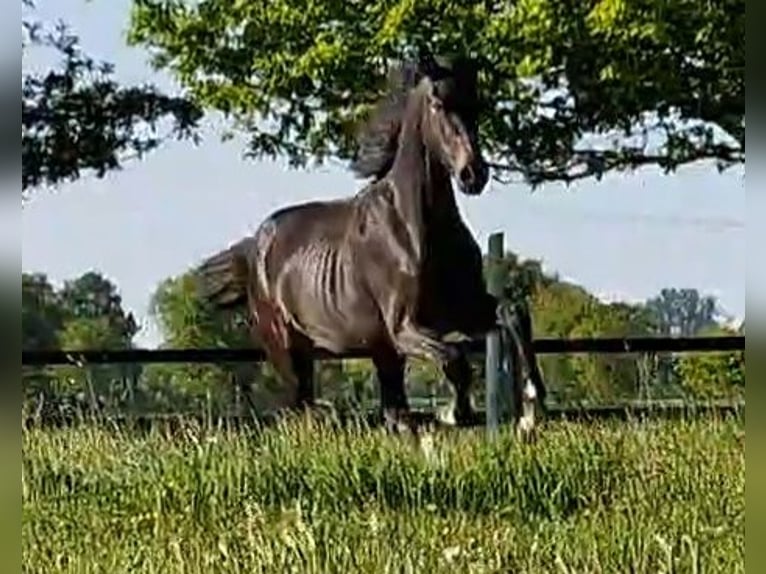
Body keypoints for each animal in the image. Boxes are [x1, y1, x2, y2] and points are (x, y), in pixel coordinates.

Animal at [195, 56, 548, 434]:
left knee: (390, 411)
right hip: (288, 348)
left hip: (376, 353)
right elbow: (455, 358)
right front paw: (453, 413)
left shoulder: (466, 309)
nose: (473, 174)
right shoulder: (404, 328)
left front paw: (531, 406)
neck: (415, 228)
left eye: (476, 105)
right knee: (298, 408)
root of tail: (256, 246)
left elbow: (513, 312)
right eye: (437, 104)